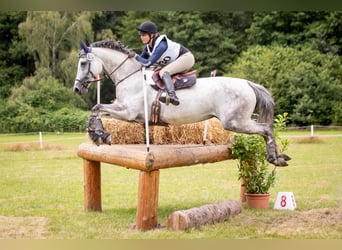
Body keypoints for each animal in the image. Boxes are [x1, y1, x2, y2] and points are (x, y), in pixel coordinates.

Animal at [73, 39, 290, 166]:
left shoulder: (129, 112)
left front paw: (100, 135)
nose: (77, 89)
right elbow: (97, 110)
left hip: (235, 122)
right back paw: (279, 157)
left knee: (266, 129)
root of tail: (247, 83)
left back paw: (274, 158)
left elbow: (97, 107)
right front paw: (99, 134)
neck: (130, 76)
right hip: (238, 121)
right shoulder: (129, 113)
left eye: (83, 63)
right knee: (267, 129)